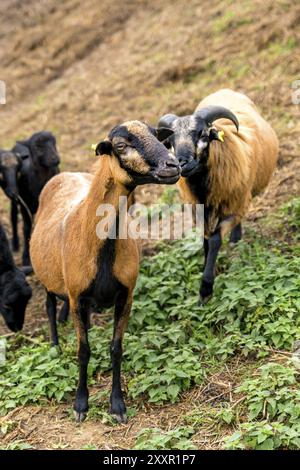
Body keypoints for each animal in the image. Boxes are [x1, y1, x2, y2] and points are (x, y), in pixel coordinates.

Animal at [29, 121, 179, 422]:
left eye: (158, 136)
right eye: (120, 146)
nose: (173, 166)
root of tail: (67, 173)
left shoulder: (126, 295)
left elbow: (116, 349)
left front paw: (117, 405)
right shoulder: (77, 297)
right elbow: (83, 351)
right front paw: (80, 404)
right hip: (49, 280)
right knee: (50, 307)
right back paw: (54, 347)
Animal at [158, 90, 278, 302]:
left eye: (203, 134)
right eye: (170, 142)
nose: (181, 164)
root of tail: (227, 90)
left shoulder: (232, 206)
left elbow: (214, 240)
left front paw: (205, 289)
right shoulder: (199, 211)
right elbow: (206, 240)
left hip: (241, 198)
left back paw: (235, 240)